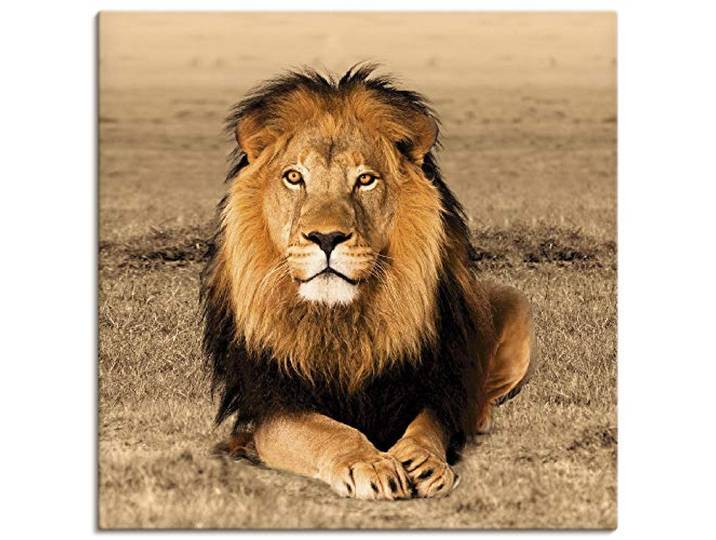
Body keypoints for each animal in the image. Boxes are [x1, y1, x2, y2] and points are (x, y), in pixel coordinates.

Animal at [202, 65, 535, 500]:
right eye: (294, 177)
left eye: (365, 180)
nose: (326, 237)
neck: (341, 320)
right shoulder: (273, 403)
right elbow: (326, 431)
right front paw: (371, 463)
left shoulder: (428, 384)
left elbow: (428, 425)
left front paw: (423, 461)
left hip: (516, 306)